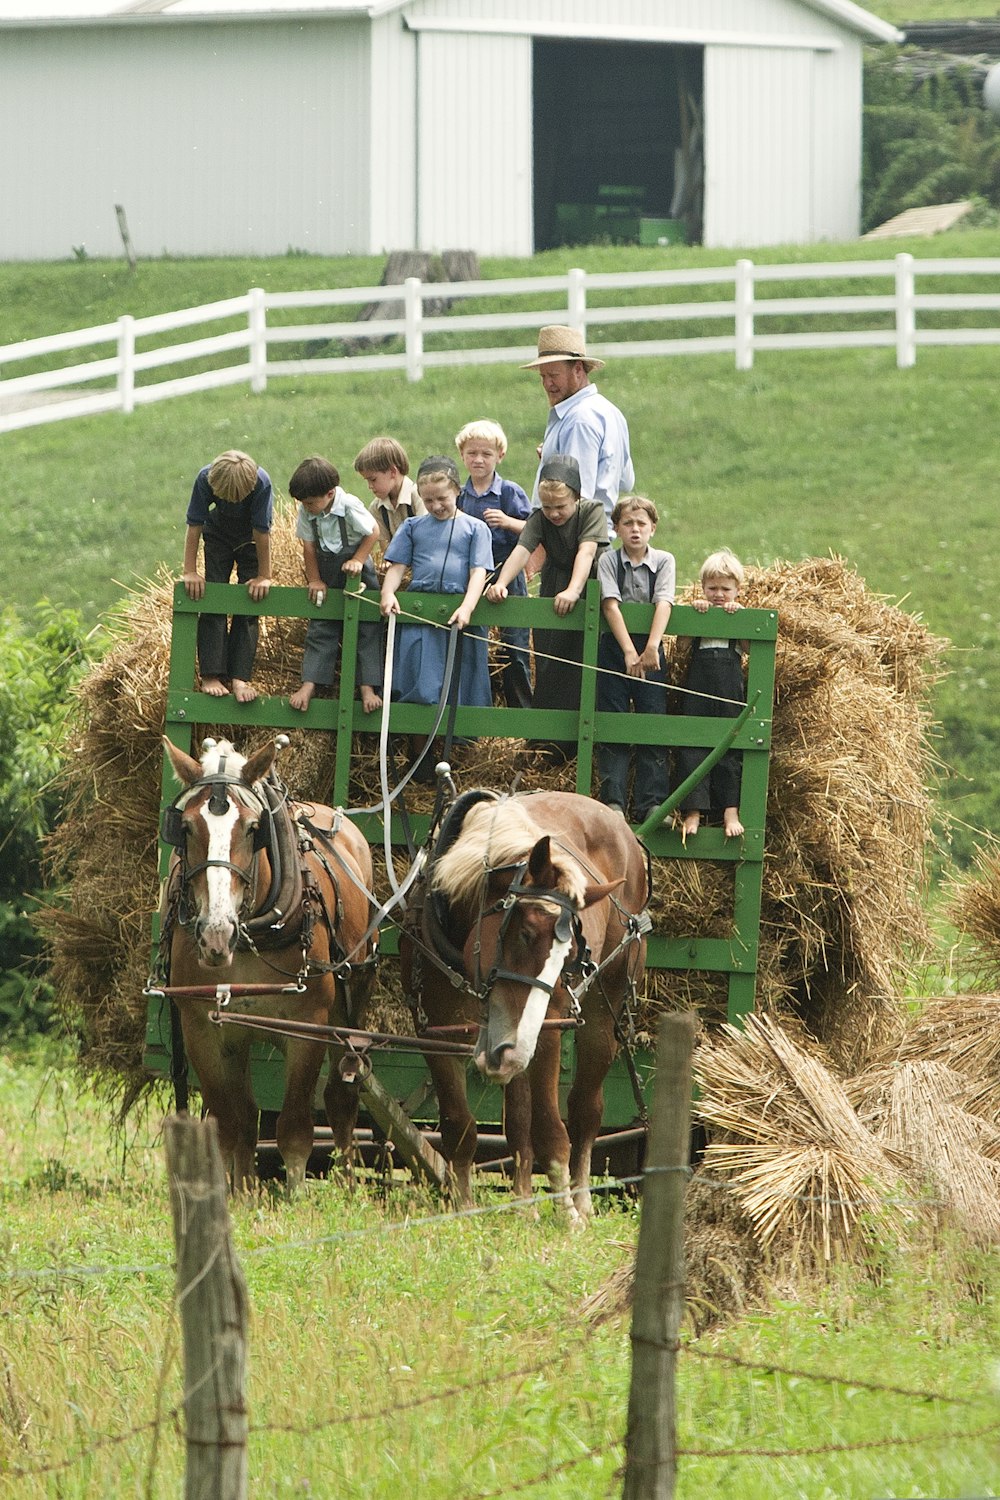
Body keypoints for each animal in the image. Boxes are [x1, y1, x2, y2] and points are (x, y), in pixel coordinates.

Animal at [160, 732, 379, 1188]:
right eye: (185, 827)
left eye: (253, 828)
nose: (216, 933)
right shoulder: (204, 1030)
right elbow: (232, 1123)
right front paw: (239, 1193)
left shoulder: (307, 1026)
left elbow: (294, 1126)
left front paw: (296, 1194)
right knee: (248, 1114)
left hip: (350, 1005)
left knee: (341, 1095)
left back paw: (347, 1182)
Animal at [404, 792, 650, 1224]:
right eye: (525, 932)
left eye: (571, 954)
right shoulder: (433, 1027)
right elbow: (460, 1124)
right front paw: (463, 1205)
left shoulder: (545, 1026)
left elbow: (552, 1128)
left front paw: (567, 1212)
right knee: (518, 1117)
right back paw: (521, 1202)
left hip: (602, 1013)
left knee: (585, 1111)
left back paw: (580, 1199)